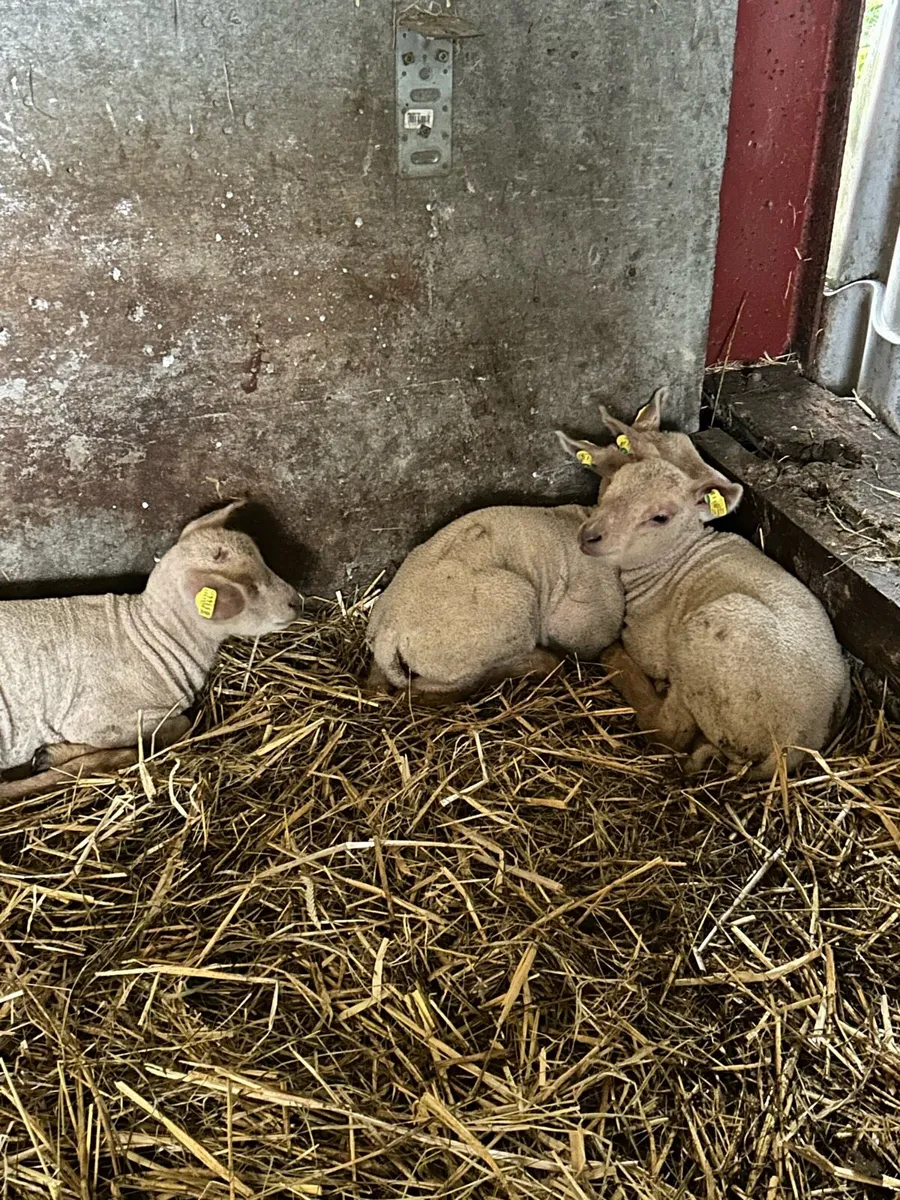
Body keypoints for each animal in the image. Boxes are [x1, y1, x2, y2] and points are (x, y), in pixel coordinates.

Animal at [0, 501, 300, 799]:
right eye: (248, 589)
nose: (298, 601)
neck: (154, 635)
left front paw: (51, 754)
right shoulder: (98, 720)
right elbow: (180, 725)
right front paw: (58, 753)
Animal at [558, 406, 851, 779]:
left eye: (660, 517)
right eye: (612, 485)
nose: (589, 536)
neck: (673, 560)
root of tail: (794, 742)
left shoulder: (651, 648)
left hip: (702, 642)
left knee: (669, 730)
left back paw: (618, 662)